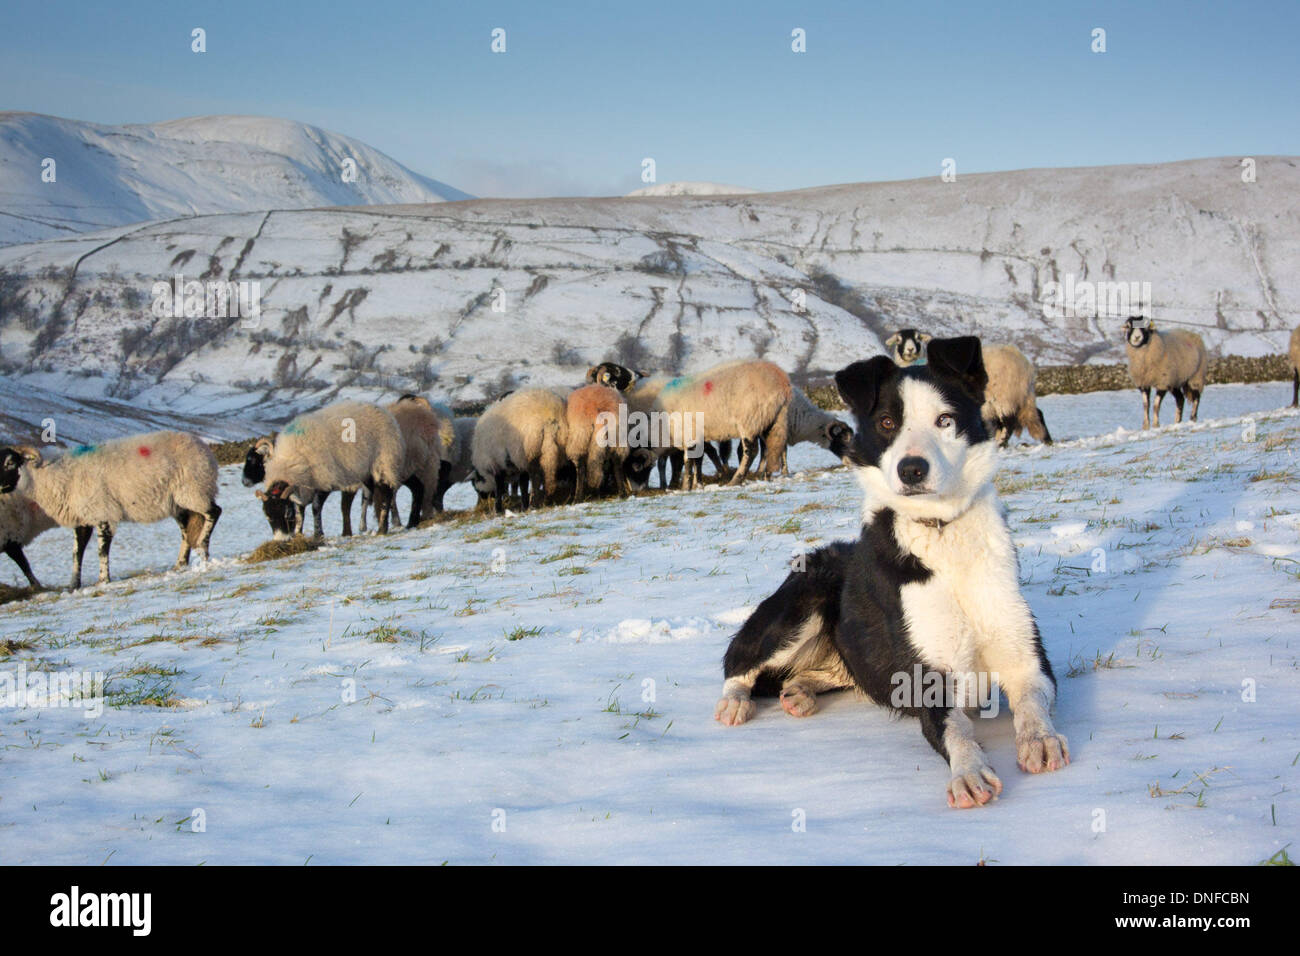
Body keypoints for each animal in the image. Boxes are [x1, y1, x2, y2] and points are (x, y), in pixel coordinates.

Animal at [0, 434, 222, 590]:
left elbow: (101, 550)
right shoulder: (83, 518)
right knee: (186, 530)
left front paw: (103, 580)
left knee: (214, 512)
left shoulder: (102, 511)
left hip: (194, 490)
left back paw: (203, 547)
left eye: (10, 462)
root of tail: (203, 447)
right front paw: (74, 585)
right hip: (177, 502)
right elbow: (76, 553)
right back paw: (180, 564)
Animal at [261, 403, 403, 538]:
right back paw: (353, 531)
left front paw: (318, 534)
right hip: (364, 473)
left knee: (386, 493)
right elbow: (300, 512)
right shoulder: (303, 487)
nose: (281, 540)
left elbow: (315, 507)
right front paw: (298, 534)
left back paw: (381, 529)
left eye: (287, 514)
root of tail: (382, 410)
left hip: (384, 462)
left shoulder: (324, 480)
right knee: (359, 500)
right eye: (268, 517)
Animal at [717, 335, 1071, 806]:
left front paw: (1040, 740)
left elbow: (1032, 702)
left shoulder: (1025, 659)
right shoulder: (926, 677)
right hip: (804, 600)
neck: (941, 531)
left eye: (944, 419)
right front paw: (969, 771)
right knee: (738, 662)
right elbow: (956, 730)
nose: (912, 469)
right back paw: (736, 701)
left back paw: (800, 690)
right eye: (887, 422)